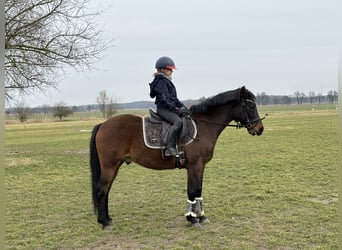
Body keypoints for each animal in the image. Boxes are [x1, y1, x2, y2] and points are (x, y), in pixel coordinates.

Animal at [89, 86, 264, 230]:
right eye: (251, 106)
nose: (260, 129)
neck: (204, 126)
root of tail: (103, 124)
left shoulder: (200, 166)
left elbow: (198, 189)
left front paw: (200, 216)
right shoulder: (195, 165)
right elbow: (192, 191)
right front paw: (192, 219)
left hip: (115, 166)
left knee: (106, 190)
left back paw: (107, 219)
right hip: (109, 166)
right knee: (102, 190)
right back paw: (104, 223)